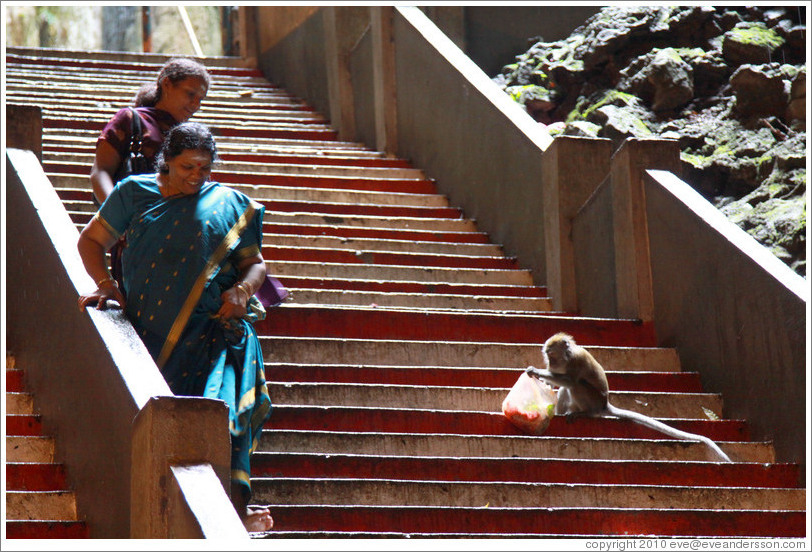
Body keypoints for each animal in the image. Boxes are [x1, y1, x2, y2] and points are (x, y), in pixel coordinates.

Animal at [524, 332, 732, 462]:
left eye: (552, 354)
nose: (549, 363)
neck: (568, 355)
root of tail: (605, 405)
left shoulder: (575, 363)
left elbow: (568, 379)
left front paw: (537, 372)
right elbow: (560, 383)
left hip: (592, 399)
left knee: (576, 385)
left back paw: (586, 414)